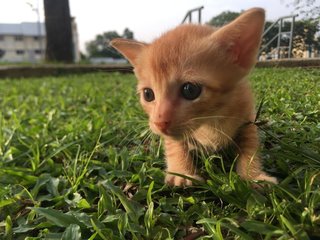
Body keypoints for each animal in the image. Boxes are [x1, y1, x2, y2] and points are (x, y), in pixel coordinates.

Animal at [112, 8, 278, 187]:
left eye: (190, 90)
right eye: (148, 94)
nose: (159, 123)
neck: (209, 121)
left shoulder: (247, 117)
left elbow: (251, 144)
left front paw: (253, 175)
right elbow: (174, 145)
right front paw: (181, 172)